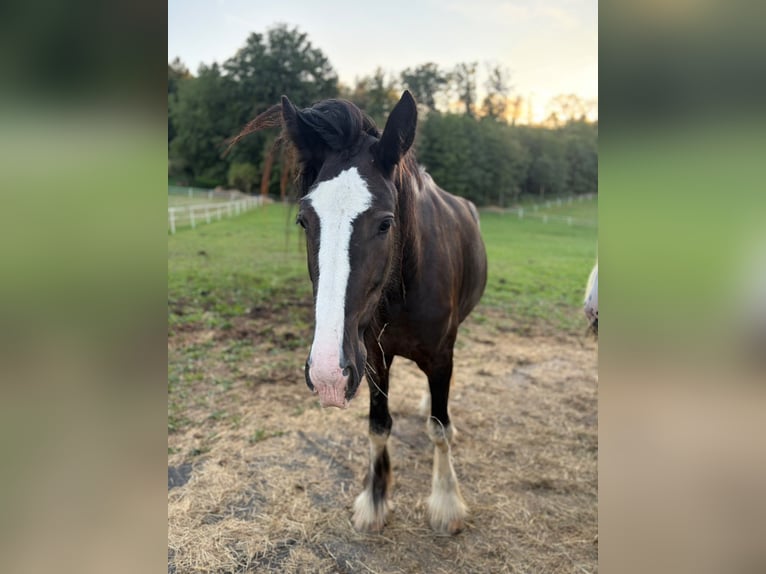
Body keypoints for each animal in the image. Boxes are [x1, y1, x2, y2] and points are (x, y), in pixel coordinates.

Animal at [233, 91, 487, 534]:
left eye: (385, 223)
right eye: (304, 221)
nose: (327, 376)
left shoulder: (440, 356)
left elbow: (439, 429)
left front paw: (445, 503)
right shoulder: (373, 357)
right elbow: (378, 426)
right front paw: (375, 499)